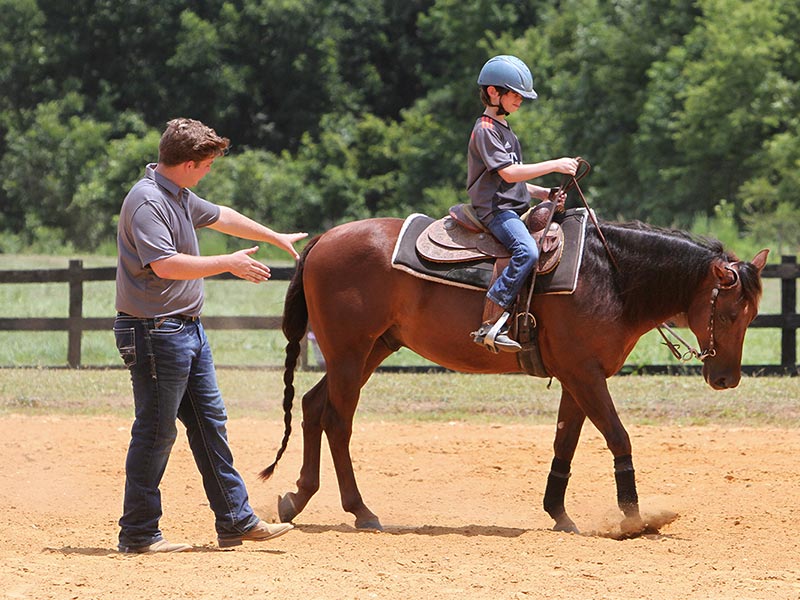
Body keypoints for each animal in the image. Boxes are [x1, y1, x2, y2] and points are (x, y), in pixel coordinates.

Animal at [262, 217, 768, 536]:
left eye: (752, 315)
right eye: (728, 312)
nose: (727, 379)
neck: (609, 275)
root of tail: (324, 239)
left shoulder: (578, 378)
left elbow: (566, 442)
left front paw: (559, 514)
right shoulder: (585, 375)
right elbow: (618, 436)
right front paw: (633, 519)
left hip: (371, 349)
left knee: (313, 407)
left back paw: (297, 499)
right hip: (350, 353)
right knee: (337, 421)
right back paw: (361, 510)